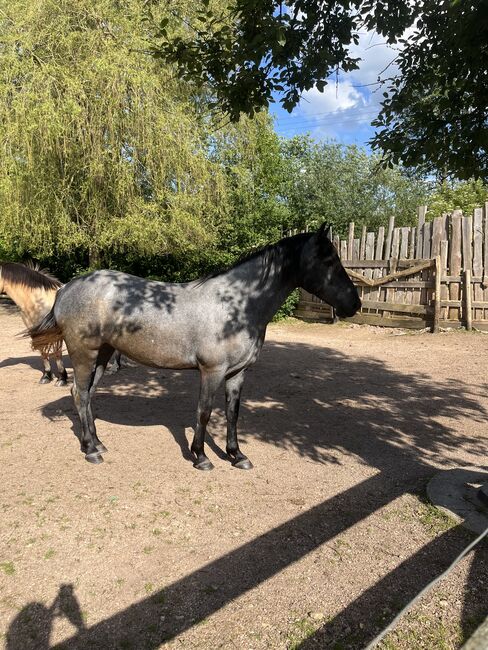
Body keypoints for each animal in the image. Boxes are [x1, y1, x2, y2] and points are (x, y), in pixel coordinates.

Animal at [28, 223, 360, 466]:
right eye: (328, 260)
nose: (354, 303)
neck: (237, 306)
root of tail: (66, 289)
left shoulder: (237, 373)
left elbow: (232, 413)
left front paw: (236, 455)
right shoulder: (211, 371)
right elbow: (204, 411)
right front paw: (200, 456)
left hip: (102, 355)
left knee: (87, 396)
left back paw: (98, 443)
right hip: (84, 355)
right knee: (79, 393)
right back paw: (90, 450)